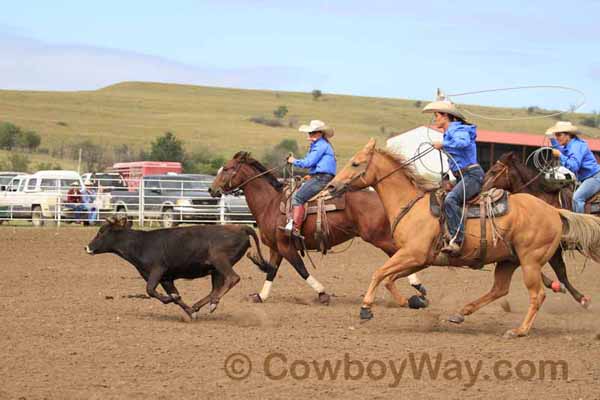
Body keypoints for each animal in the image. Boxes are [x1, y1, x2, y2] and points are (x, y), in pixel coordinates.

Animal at [209, 152, 428, 308]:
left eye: (227, 168)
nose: (212, 190)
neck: (270, 203)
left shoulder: (286, 246)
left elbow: (301, 269)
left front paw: (322, 294)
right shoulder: (276, 247)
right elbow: (271, 271)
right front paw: (260, 296)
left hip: (378, 237)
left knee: (401, 254)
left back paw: (418, 287)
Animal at [482, 152, 592, 308]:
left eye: (494, 171)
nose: (482, 189)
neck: (543, 200)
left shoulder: (554, 249)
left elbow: (561, 273)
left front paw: (581, 298)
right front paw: (554, 285)